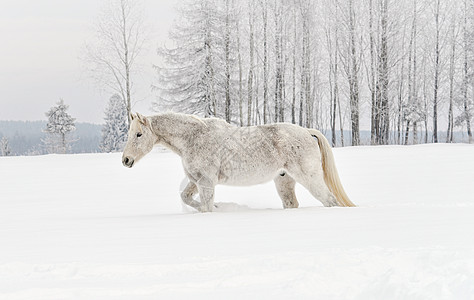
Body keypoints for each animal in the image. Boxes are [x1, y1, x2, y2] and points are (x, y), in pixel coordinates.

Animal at [122, 112, 356, 213]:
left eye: (139, 134)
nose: (126, 160)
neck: (194, 137)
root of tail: (307, 132)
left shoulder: (206, 182)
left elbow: (206, 207)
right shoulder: (196, 180)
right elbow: (186, 198)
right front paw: (219, 207)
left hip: (310, 178)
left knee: (329, 200)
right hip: (284, 181)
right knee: (292, 204)